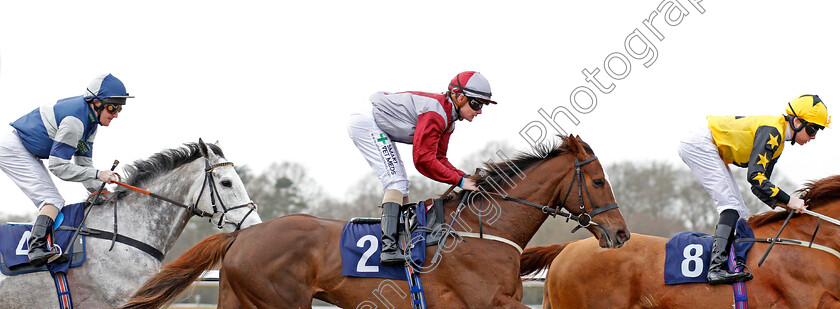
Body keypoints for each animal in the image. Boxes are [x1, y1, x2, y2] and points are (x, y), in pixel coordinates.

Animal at [121, 135, 628, 308]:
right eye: (599, 181)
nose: (621, 233)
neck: (484, 231)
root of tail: (242, 236)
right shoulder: (486, 303)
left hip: (239, 300)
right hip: (279, 302)